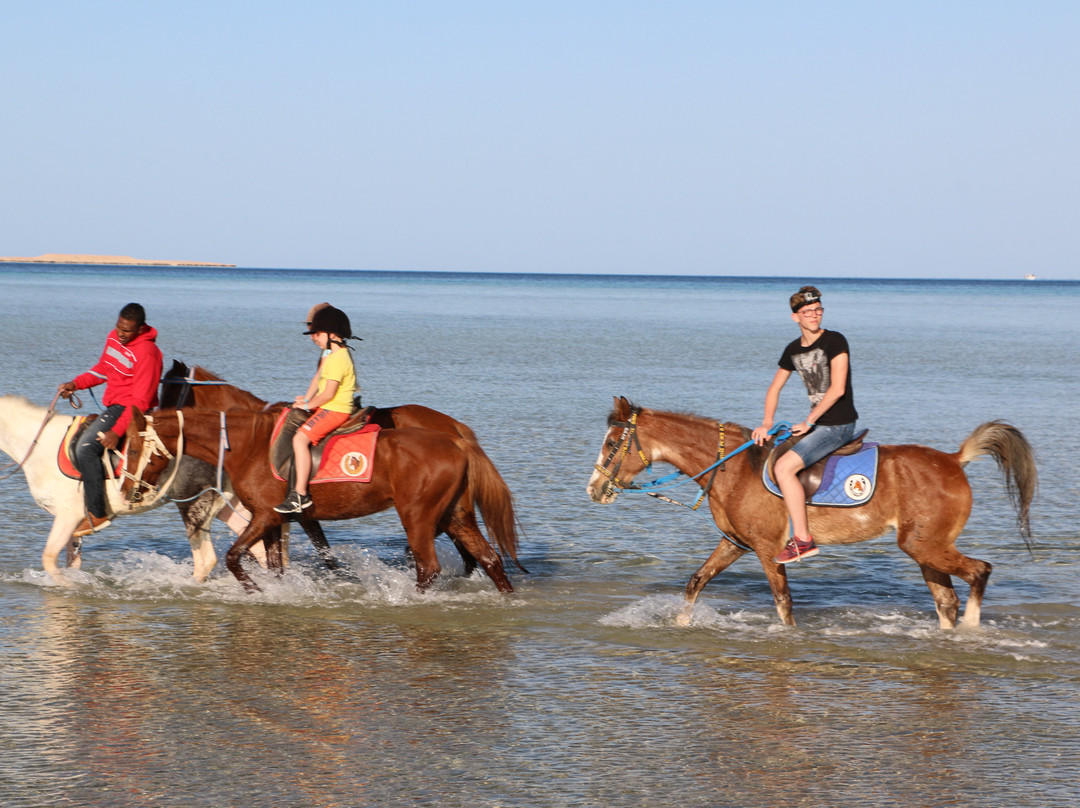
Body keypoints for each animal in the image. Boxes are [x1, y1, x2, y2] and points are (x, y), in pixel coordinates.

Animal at [0, 394, 270, 585]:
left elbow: (49, 560)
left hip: (193, 506)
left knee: (205, 560)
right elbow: (70, 564)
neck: (39, 446)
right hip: (227, 505)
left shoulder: (68, 516)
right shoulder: (72, 525)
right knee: (257, 547)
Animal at [123, 407, 522, 593]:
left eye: (132, 449)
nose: (127, 491)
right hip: (455, 515)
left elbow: (234, 558)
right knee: (488, 558)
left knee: (428, 567)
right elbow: (274, 565)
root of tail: (456, 440)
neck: (250, 445)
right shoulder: (275, 519)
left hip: (419, 517)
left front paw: (254, 589)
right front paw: (276, 591)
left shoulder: (265, 516)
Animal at [159, 360, 519, 576]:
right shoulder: (294, 514)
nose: (150, 412)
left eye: (168, 392)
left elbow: (322, 551)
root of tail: (455, 430)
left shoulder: (295, 511)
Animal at [586, 397, 1037, 629]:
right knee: (946, 599)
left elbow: (783, 602)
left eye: (611, 444)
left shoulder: (768, 548)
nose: (594, 489)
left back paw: (972, 630)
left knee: (979, 571)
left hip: (926, 545)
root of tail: (954, 460)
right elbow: (696, 582)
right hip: (925, 549)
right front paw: (682, 626)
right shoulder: (735, 543)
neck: (734, 467)